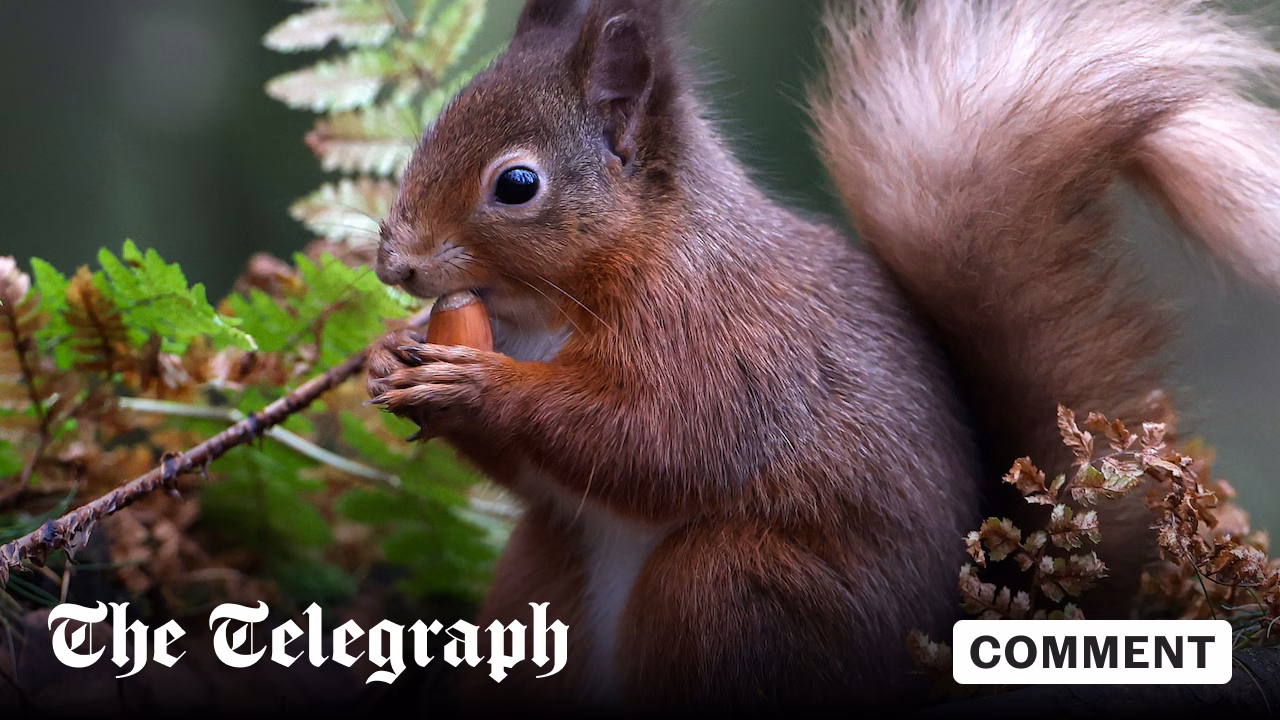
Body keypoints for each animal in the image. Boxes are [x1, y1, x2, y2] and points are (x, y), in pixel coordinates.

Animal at [365, 0, 1280, 711]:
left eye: (516, 186)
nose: (396, 265)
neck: (547, 311)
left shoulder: (725, 341)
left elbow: (662, 440)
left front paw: (479, 385)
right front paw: (388, 354)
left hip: (733, 592)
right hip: (547, 576)